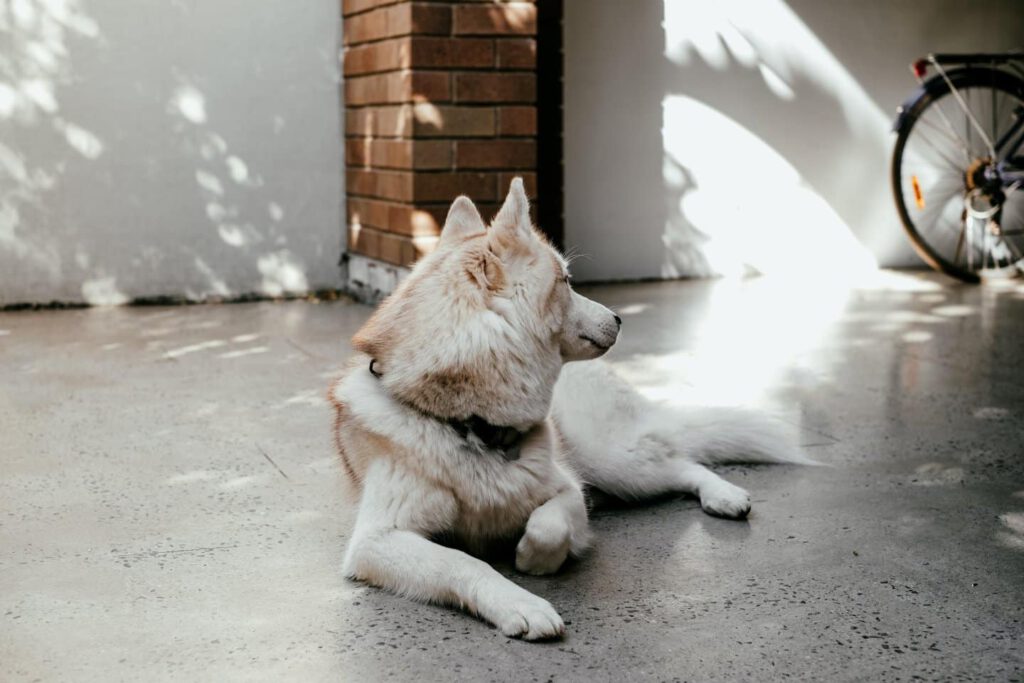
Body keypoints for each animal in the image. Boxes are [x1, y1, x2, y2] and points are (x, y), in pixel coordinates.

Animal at [329, 178, 808, 640]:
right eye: (565, 279)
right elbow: (461, 561)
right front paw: (520, 604)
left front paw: (533, 558)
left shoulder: (570, 488)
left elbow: (550, 523)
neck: (473, 424)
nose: (619, 319)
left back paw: (723, 495)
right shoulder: (377, 540)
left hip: (613, 460)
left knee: (684, 463)